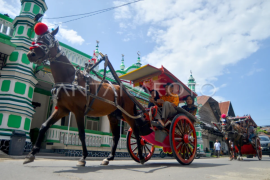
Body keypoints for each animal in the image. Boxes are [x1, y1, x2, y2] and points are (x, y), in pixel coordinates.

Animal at [23, 26, 150, 166]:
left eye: (48, 40)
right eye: (36, 39)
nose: (31, 54)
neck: (70, 79)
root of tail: (127, 92)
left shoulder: (78, 110)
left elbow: (82, 133)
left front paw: (83, 157)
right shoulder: (62, 109)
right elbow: (44, 126)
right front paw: (31, 153)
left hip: (128, 114)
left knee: (137, 133)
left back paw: (141, 156)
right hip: (114, 115)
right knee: (116, 136)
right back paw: (109, 157)